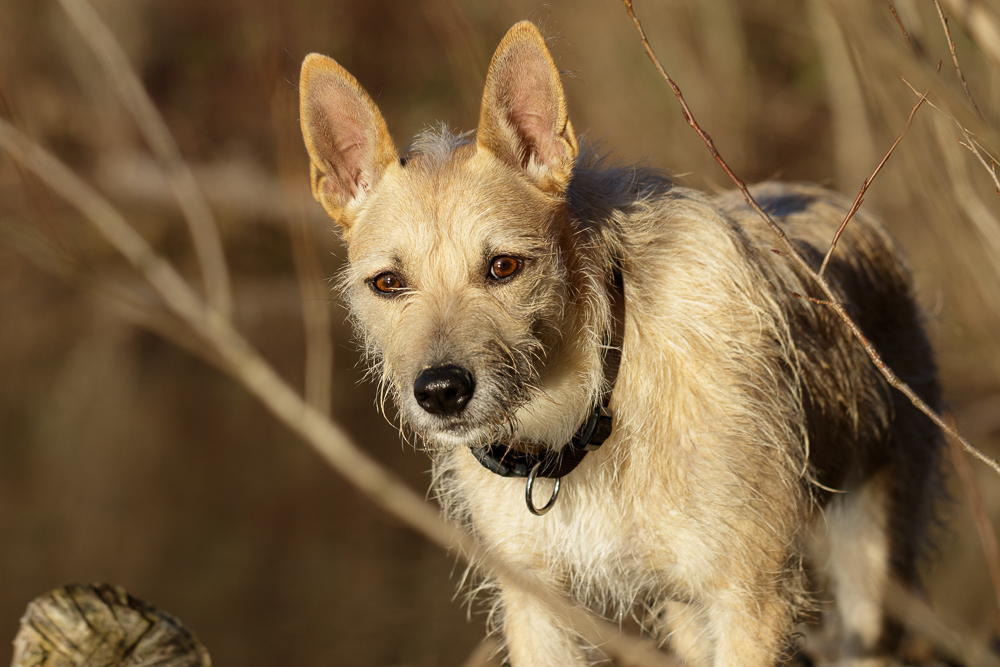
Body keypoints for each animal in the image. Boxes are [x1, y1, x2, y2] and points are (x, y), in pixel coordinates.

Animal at [296, 20, 944, 667]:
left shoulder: (752, 597)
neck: (590, 401)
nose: (440, 391)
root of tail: (834, 200)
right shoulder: (537, 607)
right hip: (687, 612)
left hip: (872, 580)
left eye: (504, 267)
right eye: (387, 283)